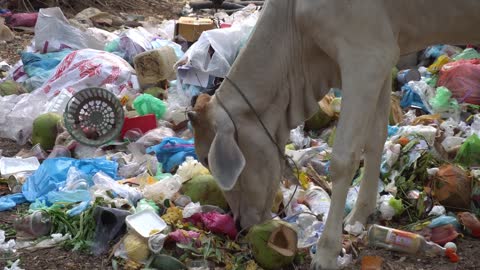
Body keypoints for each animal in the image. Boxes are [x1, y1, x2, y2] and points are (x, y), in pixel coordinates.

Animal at [187, 0, 480, 268]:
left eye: (206, 160)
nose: (240, 225)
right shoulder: (384, 56)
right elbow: (375, 139)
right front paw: (361, 215)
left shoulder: (366, 56)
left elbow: (342, 160)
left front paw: (327, 252)